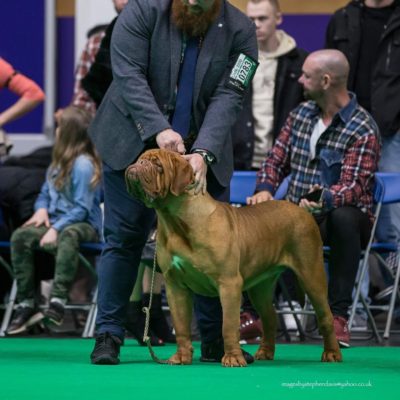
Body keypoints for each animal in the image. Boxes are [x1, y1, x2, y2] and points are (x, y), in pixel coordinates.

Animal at [126, 149, 342, 366]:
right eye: (141, 159)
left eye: (158, 165)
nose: (138, 164)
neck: (175, 220)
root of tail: (302, 209)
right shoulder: (175, 286)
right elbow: (180, 325)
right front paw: (181, 356)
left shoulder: (229, 283)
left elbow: (228, 325)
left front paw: (232, 358)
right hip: (261, 287)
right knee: (269, 317)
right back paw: (265, 352)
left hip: (311, 274)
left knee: (325, 316)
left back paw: (332, 353)